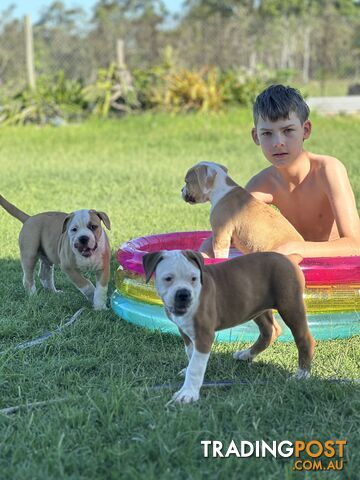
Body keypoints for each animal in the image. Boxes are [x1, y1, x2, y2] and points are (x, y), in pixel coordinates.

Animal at [144, 249, 316, 404]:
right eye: (168, 279)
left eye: (193, 278)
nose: (183, 294)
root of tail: (289, 257)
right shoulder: (185, 333)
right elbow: (191, 355)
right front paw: (188, 374)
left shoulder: (204, 335)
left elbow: (196, 367)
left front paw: (188, 393)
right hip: (257, 308)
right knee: (270, 331)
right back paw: (247, 354)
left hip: (290, 306)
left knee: (304, 339)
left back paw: (302, 374)